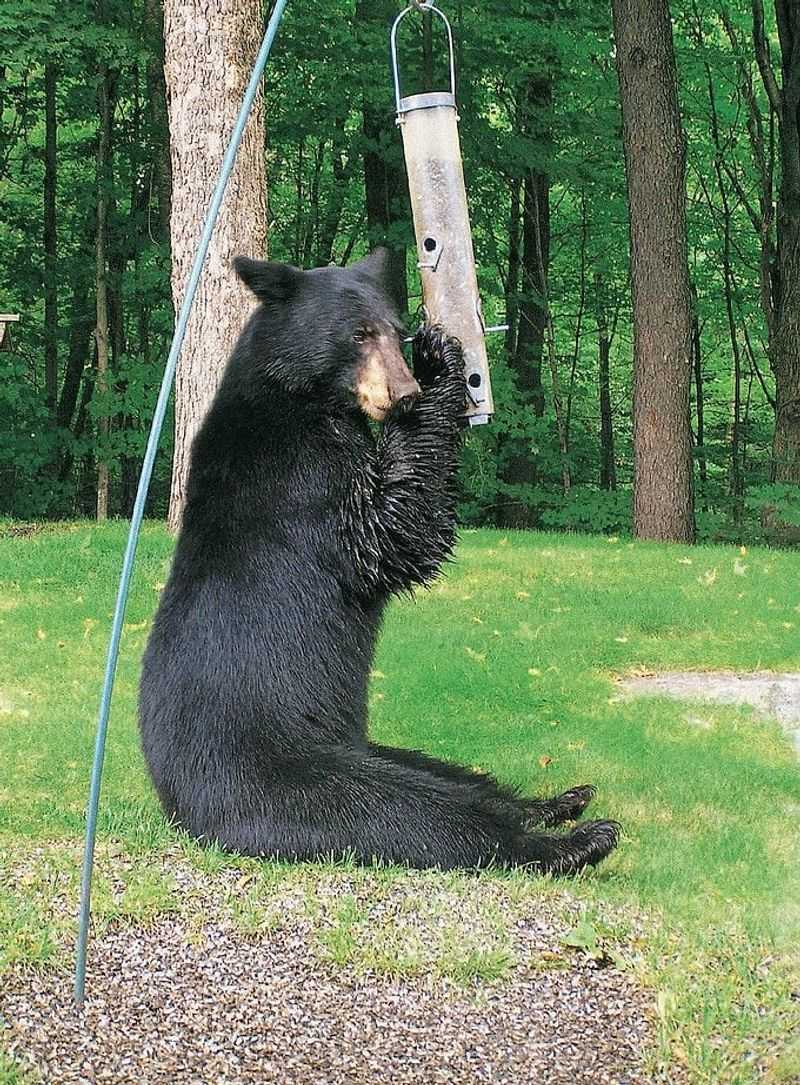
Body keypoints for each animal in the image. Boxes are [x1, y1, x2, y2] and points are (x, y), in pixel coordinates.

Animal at [138, 249, 619, 875]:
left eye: (394, 330)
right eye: (360, 334)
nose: (406, 392)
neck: (304, 399)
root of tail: (175, 804)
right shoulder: (299, 478)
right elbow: (389, 536)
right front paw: (442, 367)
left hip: (377, 750)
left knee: (460, 779)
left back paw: (557, 801)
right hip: (282, 778)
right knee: (423, 816)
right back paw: (575, 840)